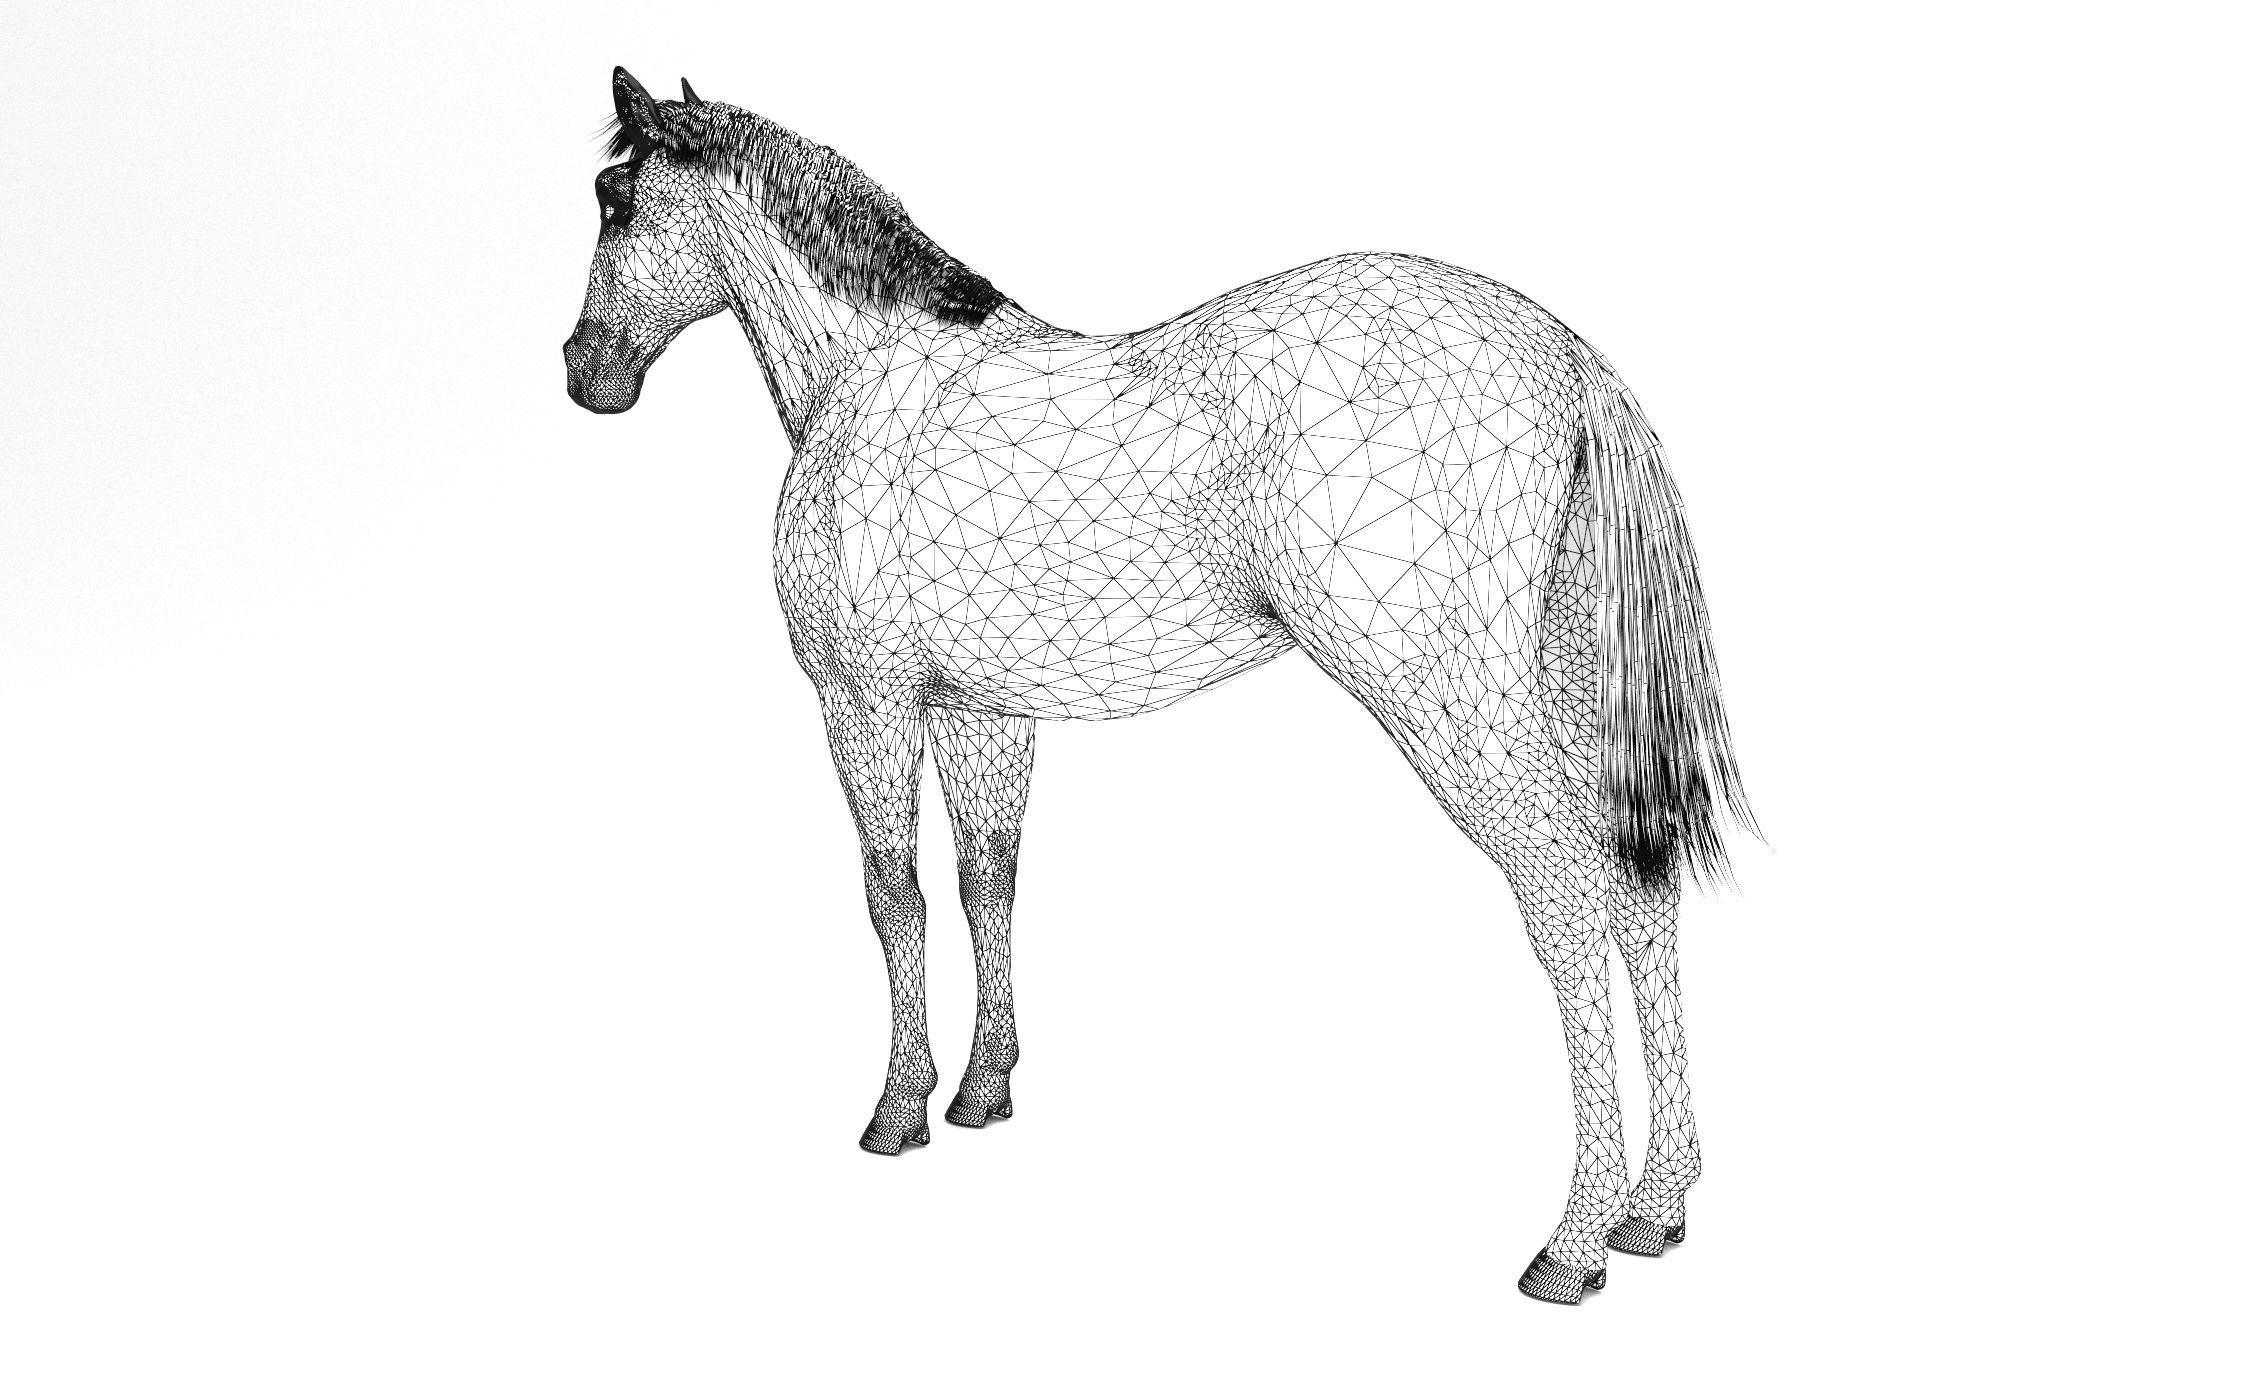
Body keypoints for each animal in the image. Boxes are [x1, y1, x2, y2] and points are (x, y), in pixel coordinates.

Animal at [563, 68, 1752, 1305]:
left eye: (613, 200)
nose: (584, 372)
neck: (875, 381)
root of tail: (1565, 355)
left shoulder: (865, 700)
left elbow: (894, 895)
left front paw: (898, 1108)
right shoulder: (985, 710)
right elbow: (990, 879)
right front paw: (983, 1088)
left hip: (1450, 700)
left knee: (1566, 894)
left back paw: (1571, 1241)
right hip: (1565, 690)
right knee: (1639, 886)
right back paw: (1654, 1205)